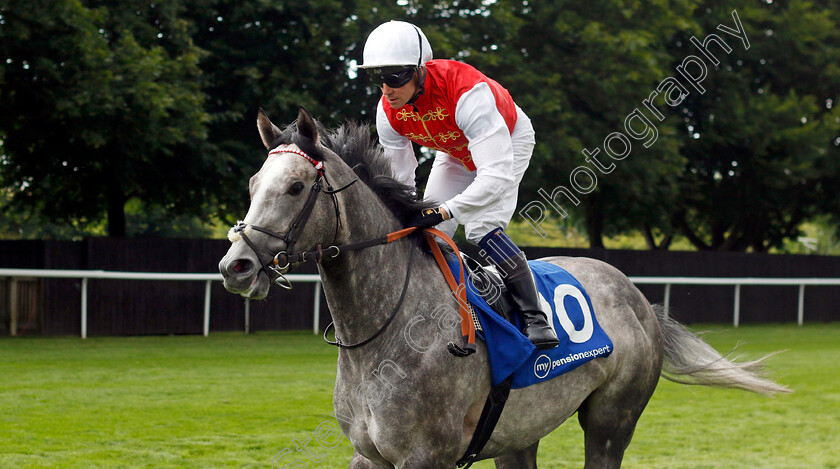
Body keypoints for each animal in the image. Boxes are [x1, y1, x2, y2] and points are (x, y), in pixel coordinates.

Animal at [218, 109, 788, 468]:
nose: (236, 266)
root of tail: (637, 296)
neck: (385, 333)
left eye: (296, 187)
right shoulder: (368, 454)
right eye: (251, 185)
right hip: (520, 433)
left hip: (612, 422)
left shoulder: (425, 456)